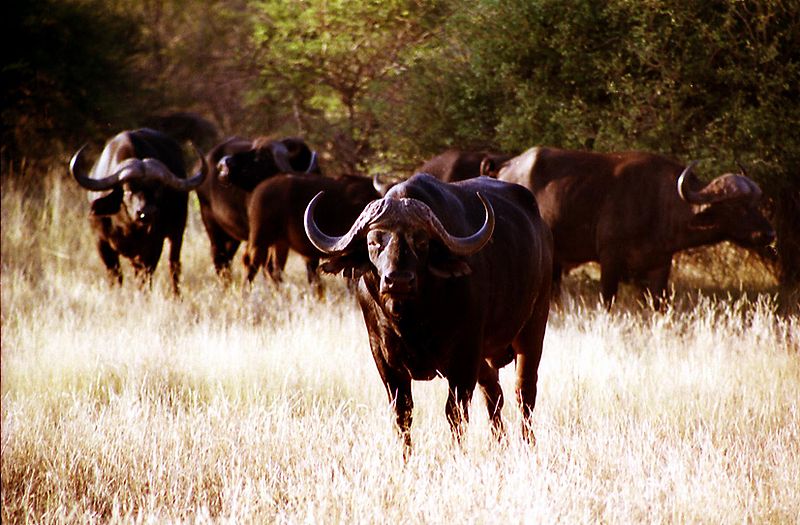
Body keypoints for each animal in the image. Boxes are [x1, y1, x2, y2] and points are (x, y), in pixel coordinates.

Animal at [69, 128, 207, 293]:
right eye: (128, 190)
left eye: (158, 190)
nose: (146, 213)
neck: (127, 226)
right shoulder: (101, 242)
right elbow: (115, 275)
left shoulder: (153, 245)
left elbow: (145, 276)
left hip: (177, 232)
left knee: (174, 266)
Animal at [305, 173, 553, 452]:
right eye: (373, 242)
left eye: (421, 241)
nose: (398, 281)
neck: (411, 321)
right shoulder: (384, 359)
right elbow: (402, 414)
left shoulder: (464, 357)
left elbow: (455, 412)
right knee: (494, 394)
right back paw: (500, 444)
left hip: (532, 330)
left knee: (524, 393)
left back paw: (529, 444)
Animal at [497, 147, 776, 306]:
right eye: (736, 206)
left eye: (756, 204)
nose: (769, 233)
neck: (659, 203)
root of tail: (506, 169)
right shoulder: (609, 259)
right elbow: (608, 301)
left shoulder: (659, 265)